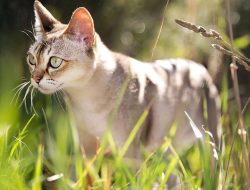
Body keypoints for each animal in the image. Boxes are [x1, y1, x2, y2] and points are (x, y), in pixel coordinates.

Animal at [26, 0, 220, 157]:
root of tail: (200, 67)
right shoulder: (86, 149)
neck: (87, 100)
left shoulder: (129, 153)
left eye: (55, 62)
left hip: (211, 143)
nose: (35, 79)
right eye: (31, 59)